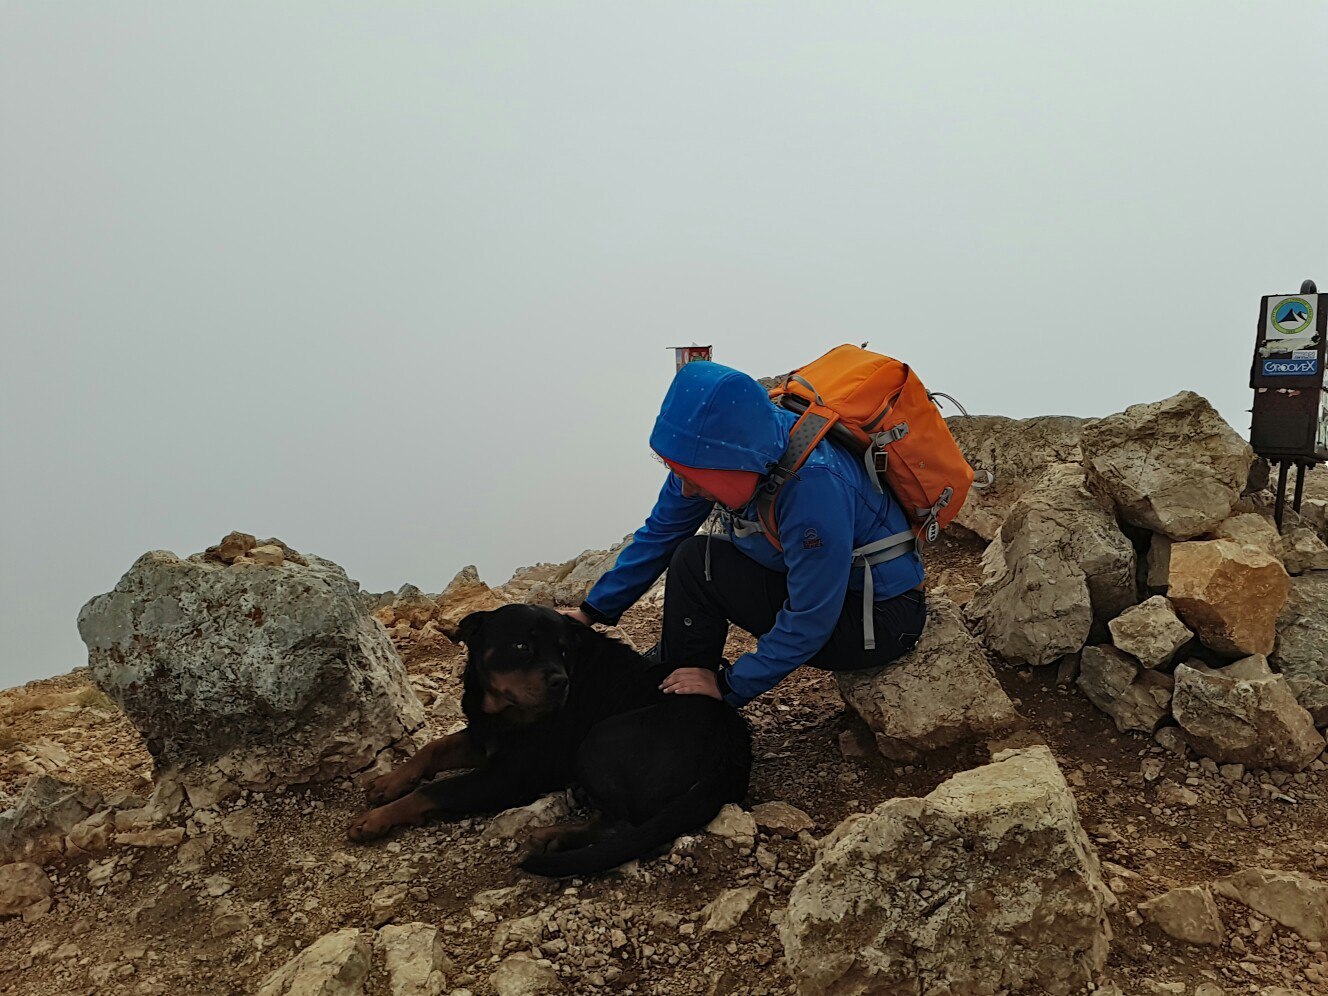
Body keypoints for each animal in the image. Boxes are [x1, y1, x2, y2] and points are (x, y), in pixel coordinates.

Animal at [347, 605, 754, 876]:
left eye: (563, 651)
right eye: (521, 646)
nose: (561, 682)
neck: (501, 709)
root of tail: (731, 756)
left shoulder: (508, 777)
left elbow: (433, 791)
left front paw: (374, 819)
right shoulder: (486, 736)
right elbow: (434, 748)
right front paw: (388, 782)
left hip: (597, 741)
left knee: (623, 824)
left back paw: (550, 836)